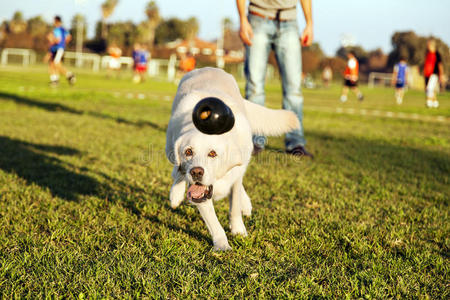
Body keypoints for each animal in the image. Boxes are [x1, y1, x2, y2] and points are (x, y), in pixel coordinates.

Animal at [165, 68, 298, 251]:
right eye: (188, 151)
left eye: (212, 153)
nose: (196, 172)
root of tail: (208, 68)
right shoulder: (200, 192)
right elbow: (213, 222)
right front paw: (222, 245)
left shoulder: (234, 175)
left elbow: (234, 205)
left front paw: (238, 230)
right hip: (170, 146)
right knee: (176, 171)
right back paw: (176, 194)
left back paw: (246, 205)